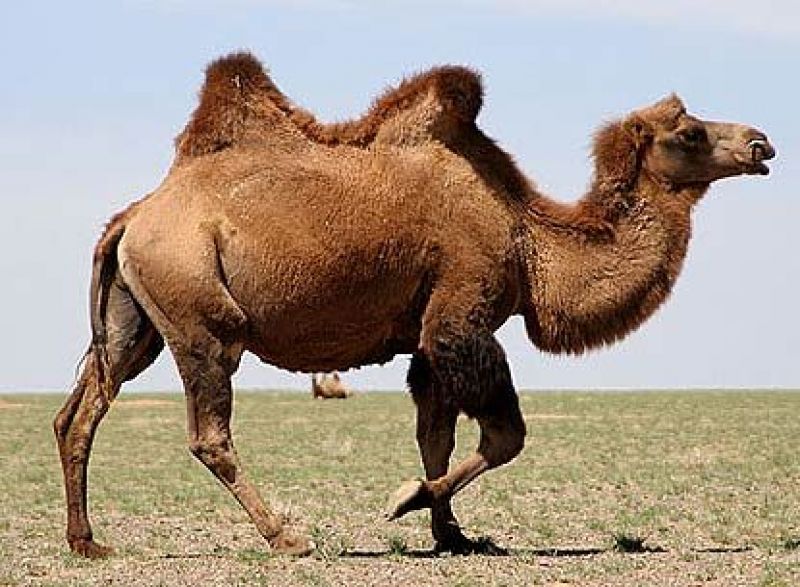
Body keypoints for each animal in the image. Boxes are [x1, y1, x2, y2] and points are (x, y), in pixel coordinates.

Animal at [54, 52, 774, 558]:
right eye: (690, 132)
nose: (761, 142)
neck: (526, 236)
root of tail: (133, 215)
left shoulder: (428, 333)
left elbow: (436, 432)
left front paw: (452, 533)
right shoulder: (462, 310)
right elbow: (505, 436)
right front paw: (406, 501)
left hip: (134, 319)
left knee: (80, 411)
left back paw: (87, 542)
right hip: (198, 308)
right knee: (208, 429)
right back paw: (286, 536)